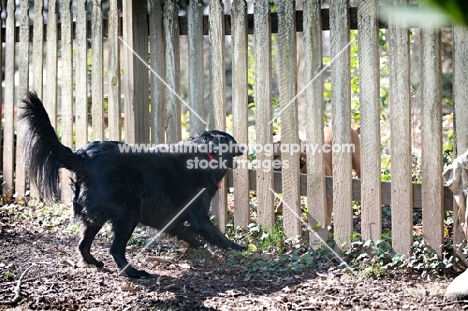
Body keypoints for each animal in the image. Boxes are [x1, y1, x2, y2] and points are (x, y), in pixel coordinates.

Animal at [19, 91, 245, 280]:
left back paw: (95, 263)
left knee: (83, 245)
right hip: (129, 212)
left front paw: (198, 245)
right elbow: (216, 235)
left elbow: (185, 231)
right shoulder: (198, 215)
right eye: (232, 141)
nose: (243, 148)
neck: (206, 153)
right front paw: (239, 248)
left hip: (99, 217)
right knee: (115, 249)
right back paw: (133, 272)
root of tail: (84, 158)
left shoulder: (168, 216)